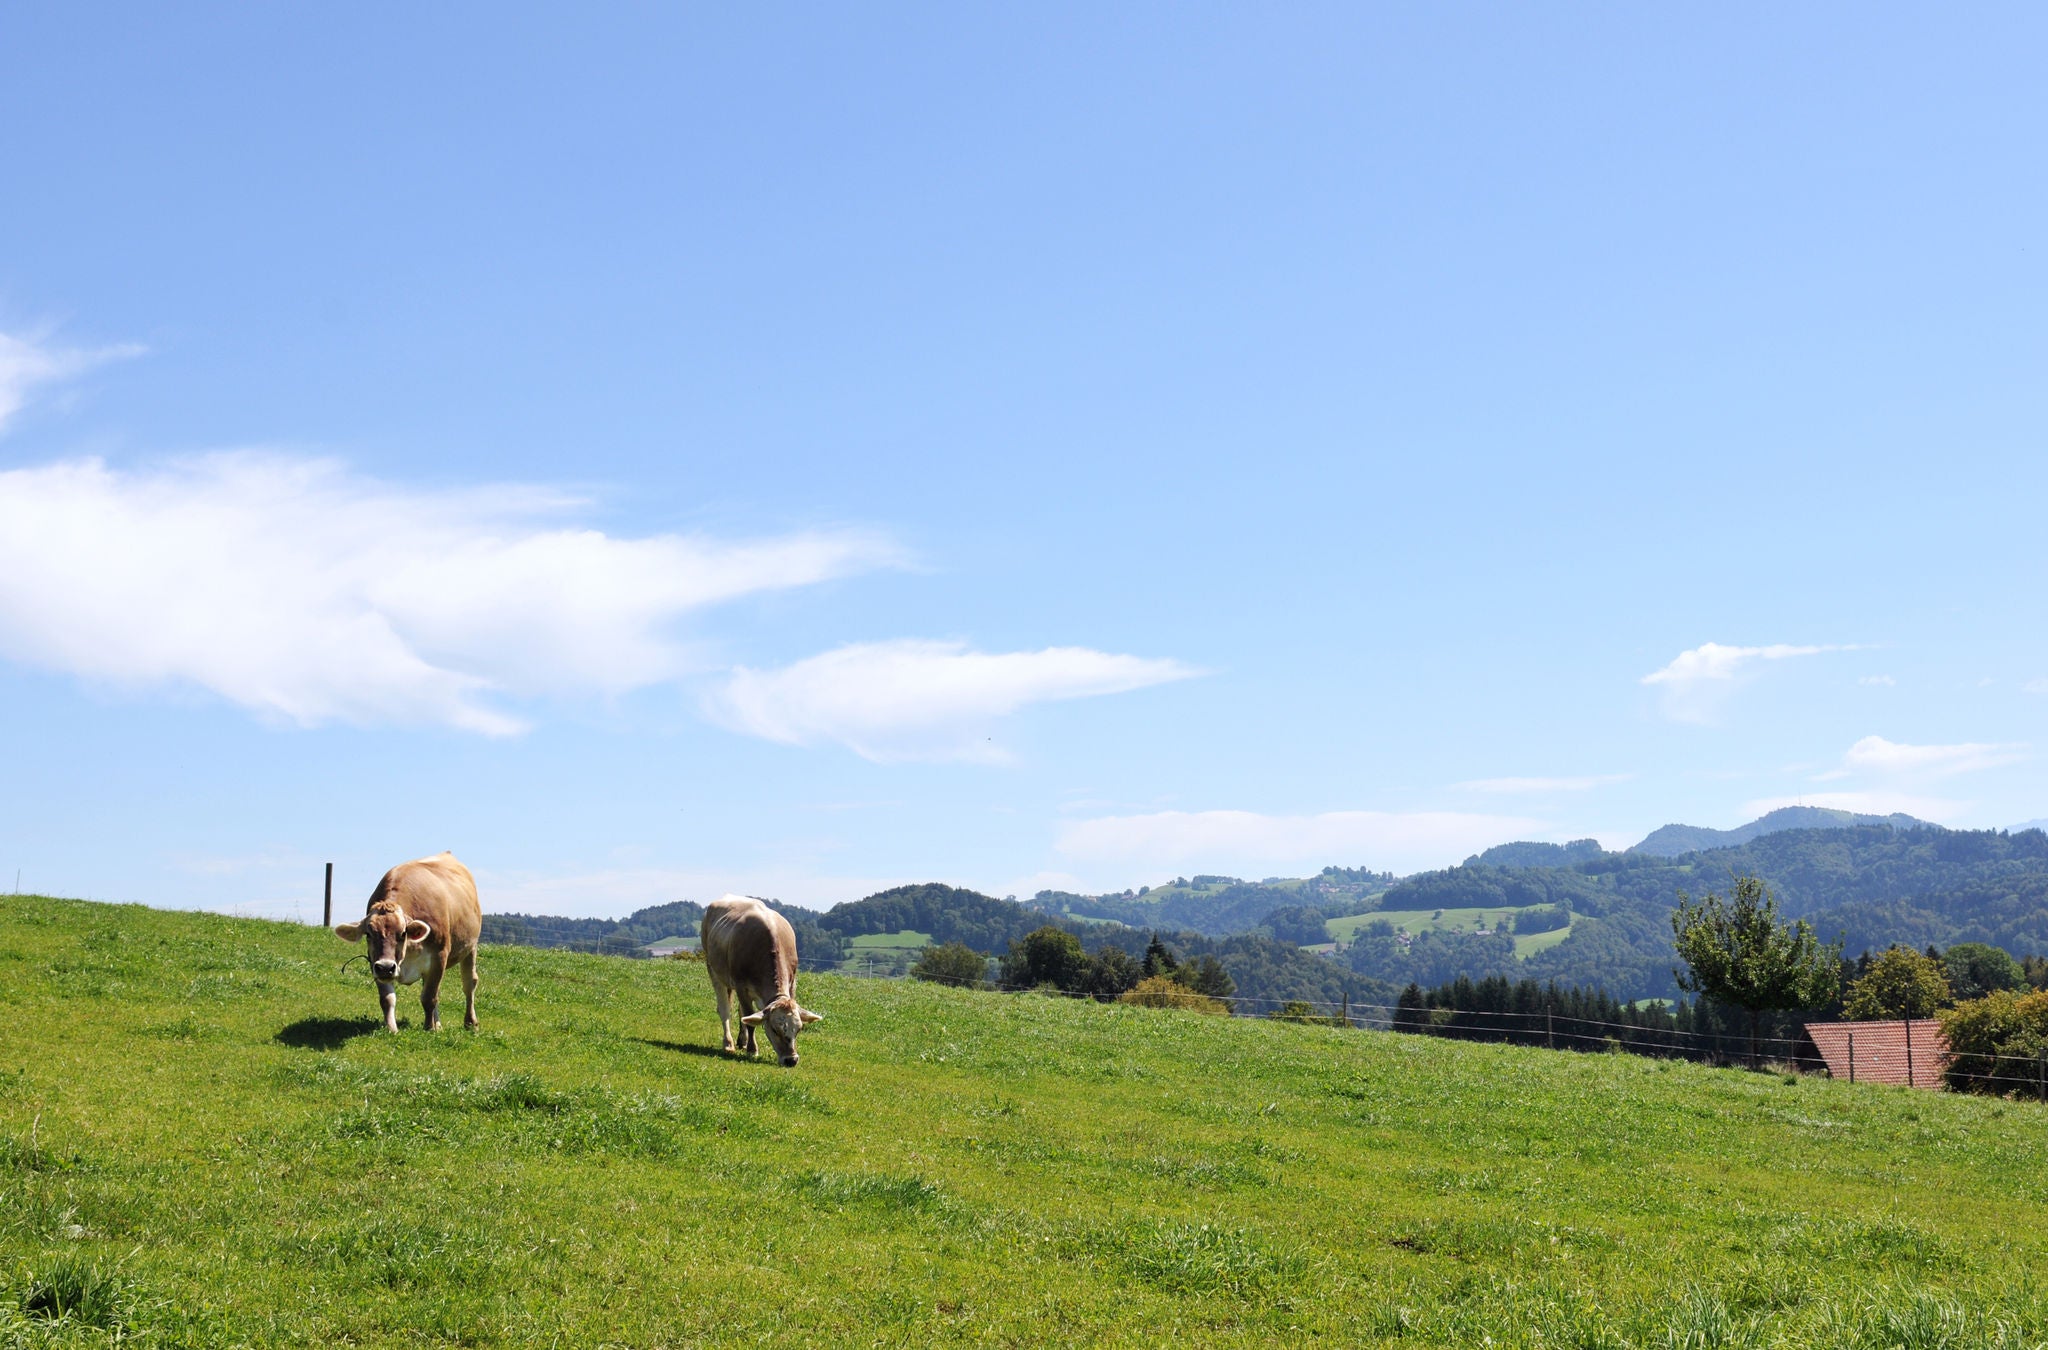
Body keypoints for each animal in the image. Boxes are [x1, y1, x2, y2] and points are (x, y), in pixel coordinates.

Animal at [333, 856, 481, 1036]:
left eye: (403, 933)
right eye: (368, 934)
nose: (386, 967)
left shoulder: (439, 958)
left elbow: (429, 998)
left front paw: (428, 1028)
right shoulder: (376, 964)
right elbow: (387, 999)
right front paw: (392, 1028)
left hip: (471, 947)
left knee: (469, 984)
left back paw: (470, 1022)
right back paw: (438, 1024)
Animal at [704, 893, 823, 1073]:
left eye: (799, 1029)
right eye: (774, 1029)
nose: (791, 1060)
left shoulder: (792, 983)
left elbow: (748, 1016)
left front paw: (747, 1044)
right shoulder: (741, 986)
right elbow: (750, 1020)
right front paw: (752, 1050)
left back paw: (742, 1041)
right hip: (713, 970)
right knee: (725, 1010)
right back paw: (728, 1043)